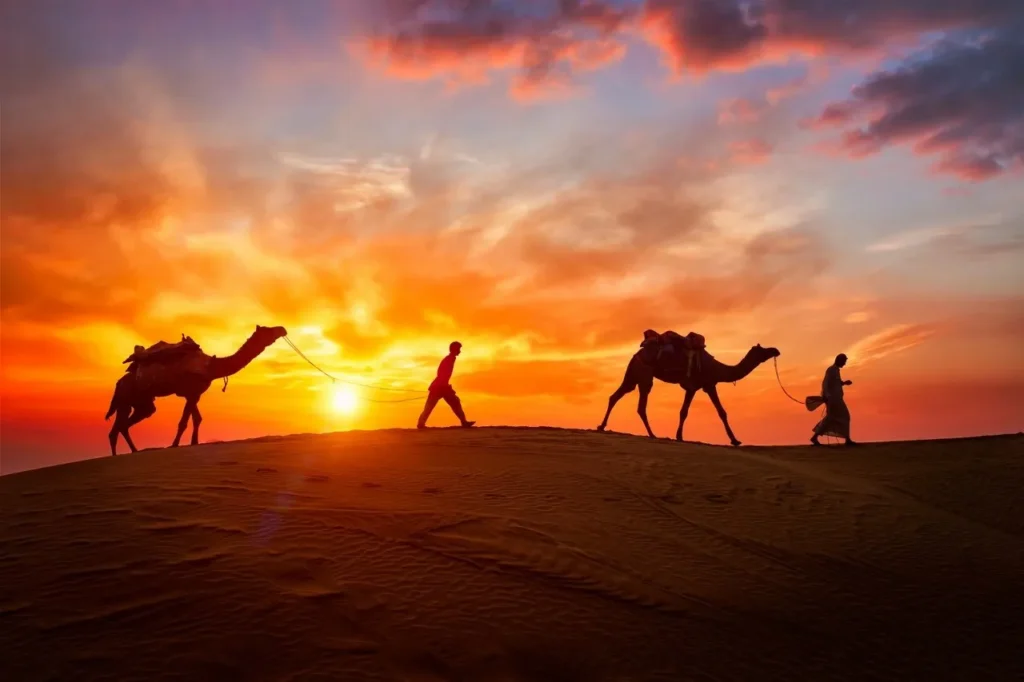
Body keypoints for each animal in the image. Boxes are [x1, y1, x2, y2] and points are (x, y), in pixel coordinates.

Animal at [104, 325, 288, 455]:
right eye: (268, 330)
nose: (282, 329)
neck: (212, 366)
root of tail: (118, 383)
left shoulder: (194, 394)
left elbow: (197, 419)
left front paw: (194, 443)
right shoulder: (191, 392)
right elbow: (184, 422)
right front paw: (174, 445)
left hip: (139, 403)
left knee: (123, 425)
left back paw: (127, 452)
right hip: (127, 399)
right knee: (120, 425)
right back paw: (129, 452)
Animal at [596, 341, 780, 445]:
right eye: (763, 350)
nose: (776, 350)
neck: (717, 368)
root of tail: (635, 355)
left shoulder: (697, 387)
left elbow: (685, 412)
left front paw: (679, 436)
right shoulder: (705, 384)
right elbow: (719, 412)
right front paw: (735, 440)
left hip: (633, 375)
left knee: (616, 395)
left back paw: (601, 426)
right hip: (644, 374)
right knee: (640, 406)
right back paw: (652, 434)